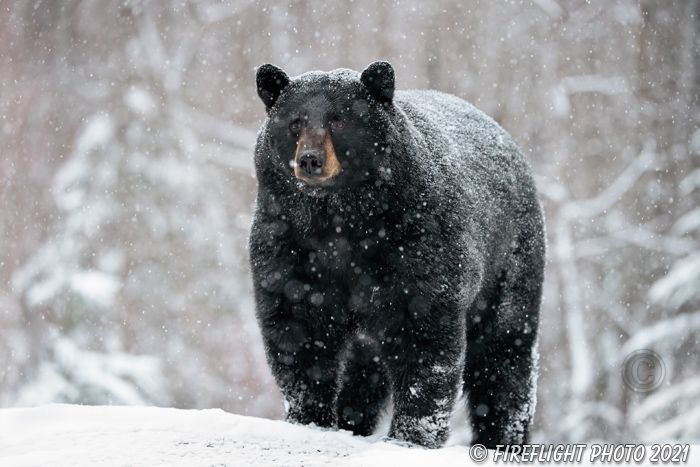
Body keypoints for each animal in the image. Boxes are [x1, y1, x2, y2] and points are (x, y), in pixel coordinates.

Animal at [249, 60, 544, 448]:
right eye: (294, 122)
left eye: (338, 119)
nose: (310, 160)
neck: (340, 220)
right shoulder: (286, 241)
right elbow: (298, 328)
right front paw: (309, 419)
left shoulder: (420, 238)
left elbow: (424, 336)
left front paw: (411, 437)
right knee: (364, 370)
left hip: (510, 259)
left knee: (506, 351)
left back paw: (504, 438)